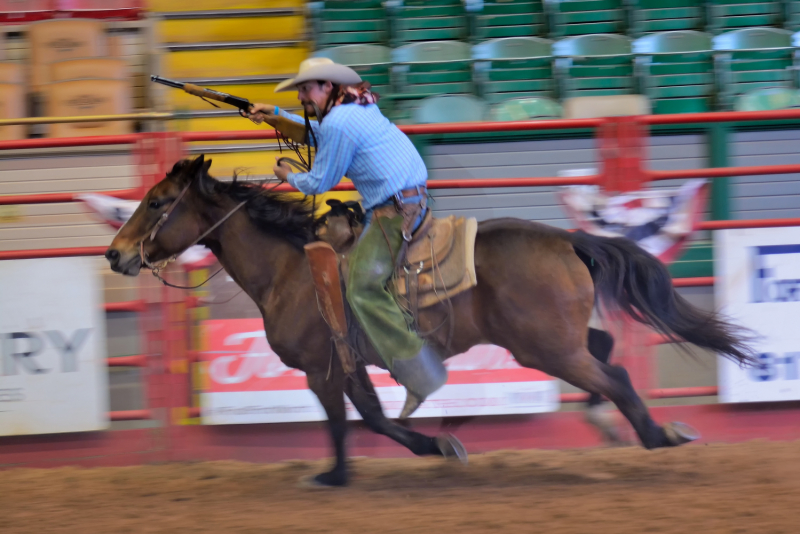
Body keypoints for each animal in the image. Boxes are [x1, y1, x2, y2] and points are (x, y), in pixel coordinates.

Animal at [106, 156, 756, 490]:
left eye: (158, 202)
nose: (115, 253)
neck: (289, 267)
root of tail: (566, 239)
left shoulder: (321, 368)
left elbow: (351, 422)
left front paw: (340, 474)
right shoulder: (346, 363)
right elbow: (371, 417)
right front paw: (436, 442)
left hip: (547, 348)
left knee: (613, 377)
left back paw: (659, 434)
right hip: (556, 340)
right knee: (606, 349)